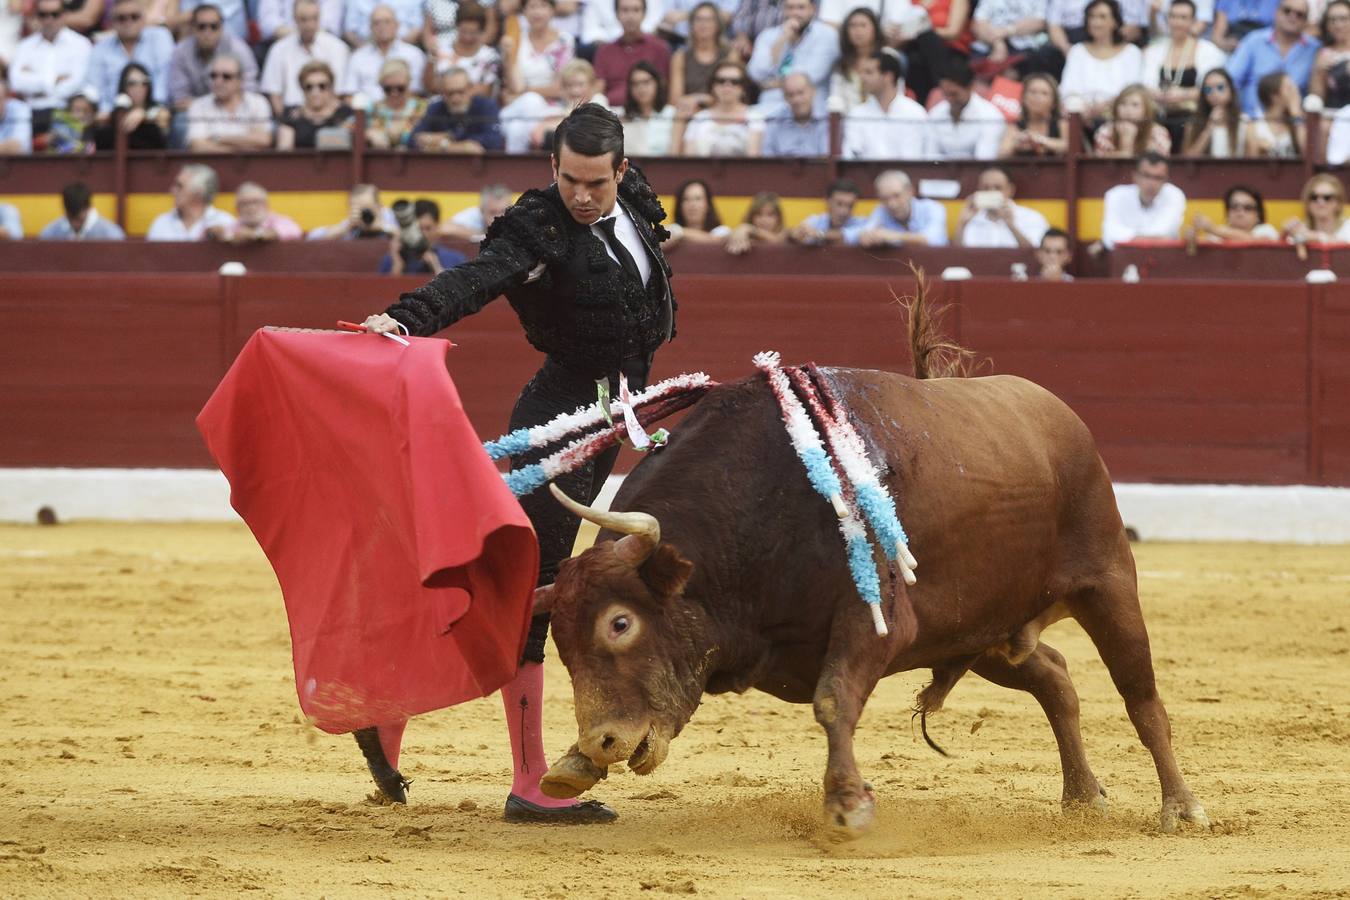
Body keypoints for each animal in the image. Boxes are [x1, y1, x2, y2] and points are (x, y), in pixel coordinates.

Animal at [529, 299, 1215, 841]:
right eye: (561, 640)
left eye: (621, 623)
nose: (602, 741)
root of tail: (1059, 415)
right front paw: (571, 766)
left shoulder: (875, 621)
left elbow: (834, 700)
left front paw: (846, 809)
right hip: (982, 630)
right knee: (1054, 676)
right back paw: (1081, 797)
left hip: (1106, 582)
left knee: (1140, 695)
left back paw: (1180, 809)